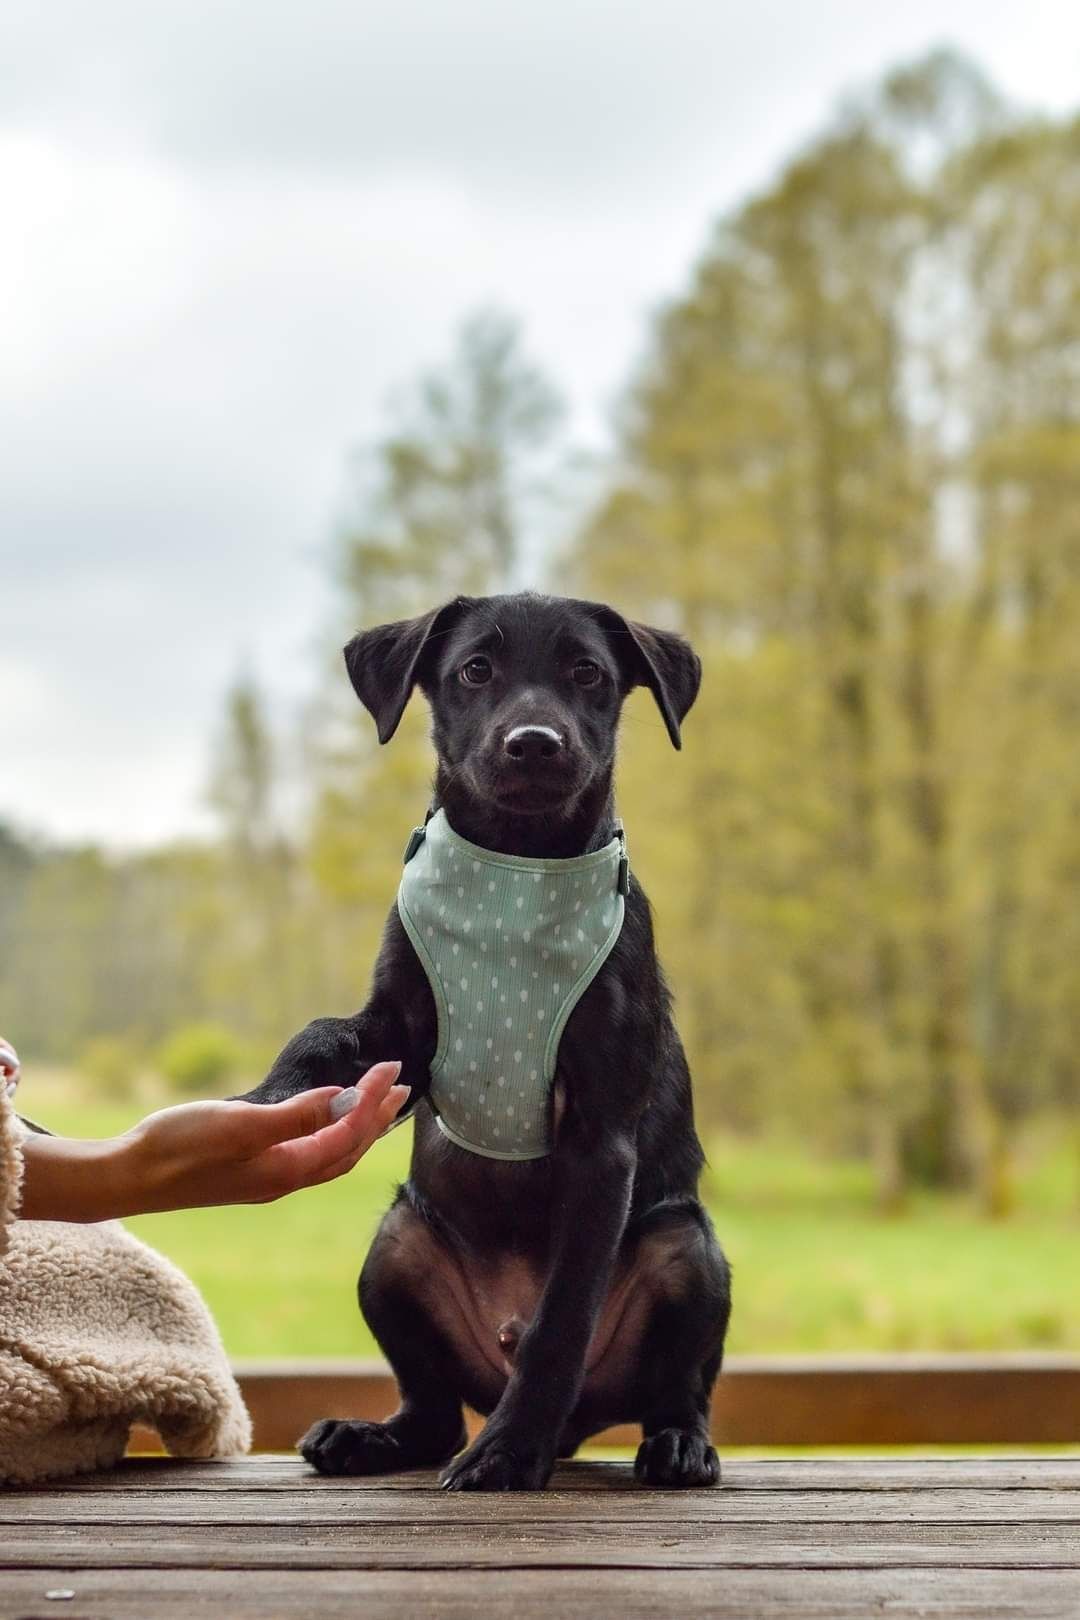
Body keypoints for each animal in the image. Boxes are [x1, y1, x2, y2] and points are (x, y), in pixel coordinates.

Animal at [244, 589, 731, 1483]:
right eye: (475, 670)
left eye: (588, 673)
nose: (534, 742)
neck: (516, 874)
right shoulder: (396, 1028)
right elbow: (321, 1037)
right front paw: (259, 1102)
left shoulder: (601, 1140)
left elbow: (560, 1323)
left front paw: (508, 1450)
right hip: (395, 1249)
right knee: (432, 1413)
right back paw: (370, 1437)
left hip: (685, 1247)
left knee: (675, 1387)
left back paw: (676, 1444)